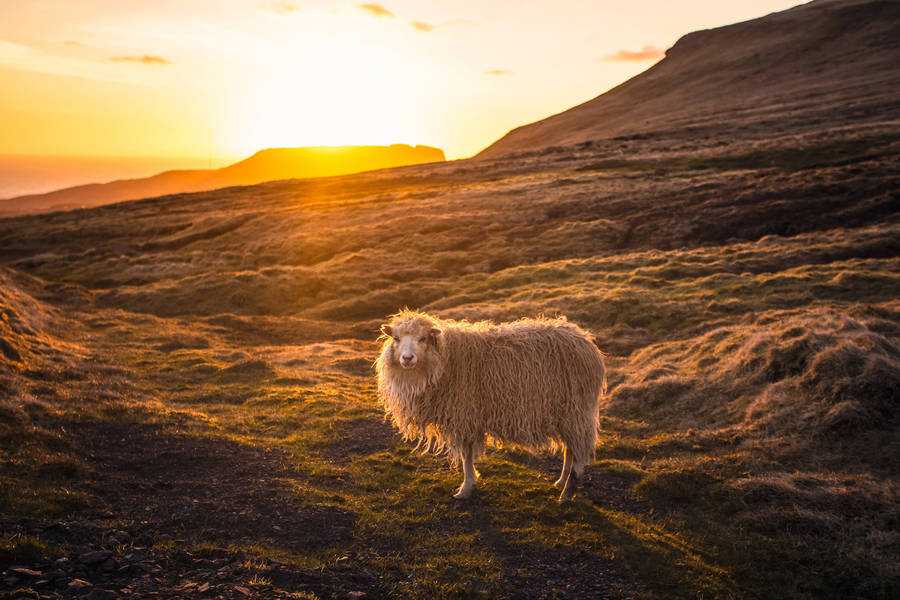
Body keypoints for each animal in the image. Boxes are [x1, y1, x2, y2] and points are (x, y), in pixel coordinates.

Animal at [375, 309, 607, 502]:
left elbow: (466, 455)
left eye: (422, 338)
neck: (446, 361)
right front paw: (470, 484)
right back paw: (561, 481)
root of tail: (586, 341)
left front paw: (466, 488)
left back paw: (567, 492)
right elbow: (466, 455)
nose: (407, 358)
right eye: (396, 338)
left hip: (577, 410)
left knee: (579, 452)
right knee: (570, 449)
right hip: (565, 413)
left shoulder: (464, 415)